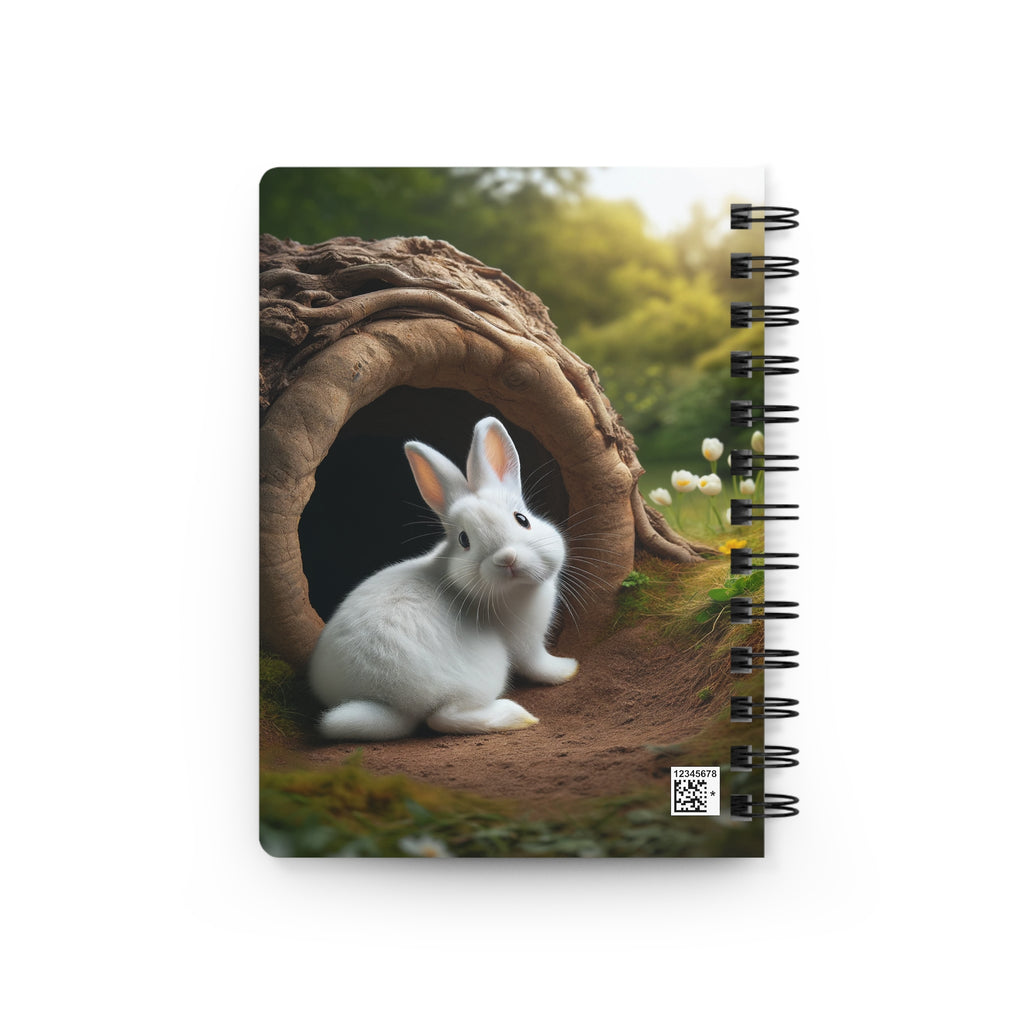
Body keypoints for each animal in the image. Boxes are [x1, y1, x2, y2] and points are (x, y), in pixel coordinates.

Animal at [308, 416, 579, 740]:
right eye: (464, 540)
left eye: (522, 519)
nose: (507, 558)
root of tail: (388, 700)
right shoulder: (527, 643)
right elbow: (539, 665)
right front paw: (568, 668)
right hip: (483, 671)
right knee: (444, 718)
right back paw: (517, 717)